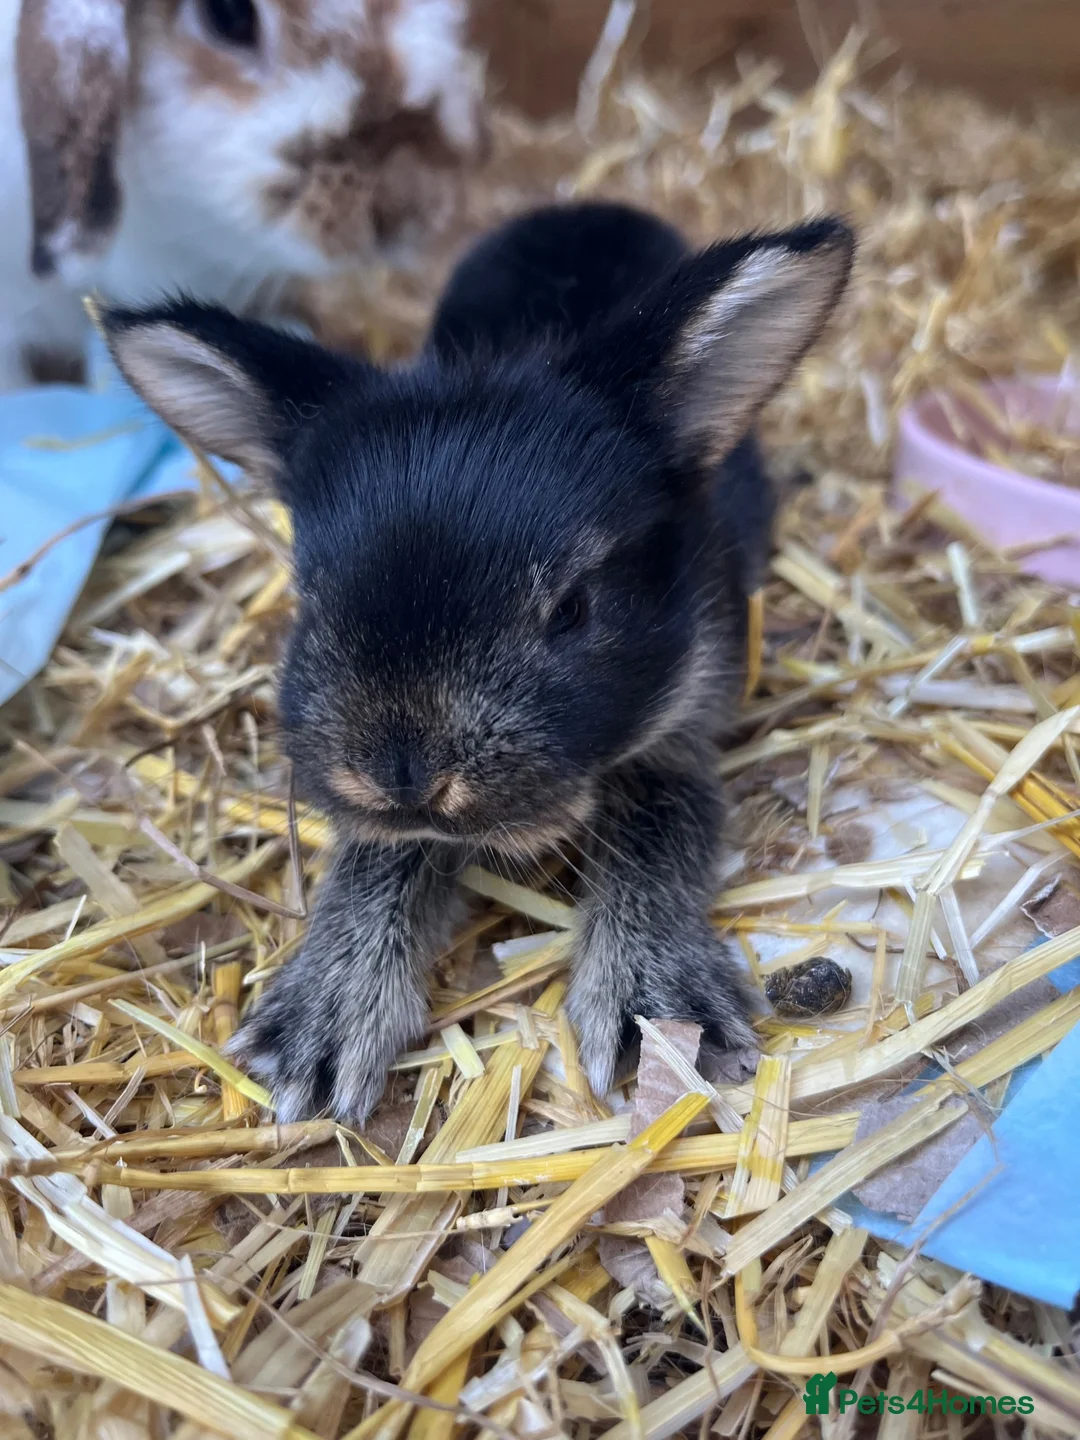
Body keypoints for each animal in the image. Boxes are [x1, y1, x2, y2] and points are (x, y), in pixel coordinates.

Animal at [101, 200, 854, 1122]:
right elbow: (384, 855)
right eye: (309, 597)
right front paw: (320, 1026)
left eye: (571, 609)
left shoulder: (681, 732)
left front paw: (658, 1012)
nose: (404, 777)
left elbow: (660, 828)